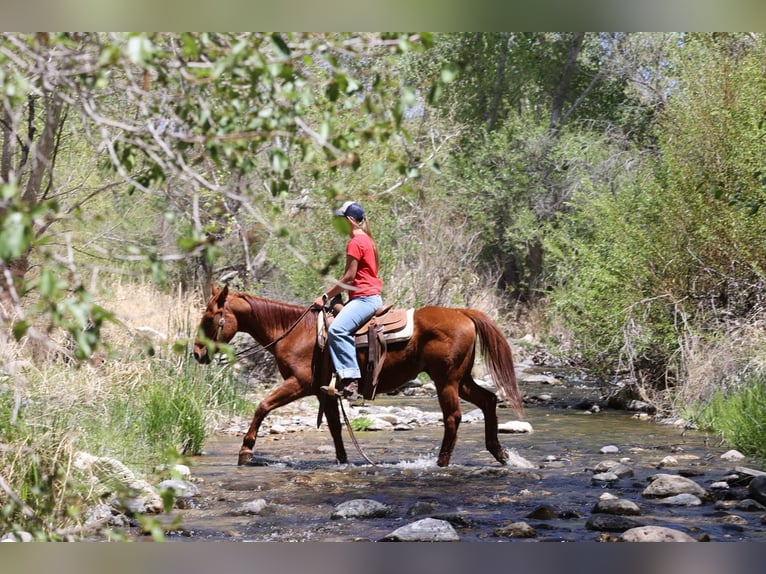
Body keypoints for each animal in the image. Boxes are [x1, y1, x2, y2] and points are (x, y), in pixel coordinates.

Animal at [192, 284, 524, 467]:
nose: (197, 353)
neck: (296, 332)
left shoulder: (299, 384)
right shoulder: (323, 391)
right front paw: (342, 461)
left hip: (446, 381)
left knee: (453, 417)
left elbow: (262, 406)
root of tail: (463, 313)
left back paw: (441, 463)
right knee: (488, 401)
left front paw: (245, 451)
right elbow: (335, 428)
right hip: (461, 379)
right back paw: (500, 454)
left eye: (209, 318)